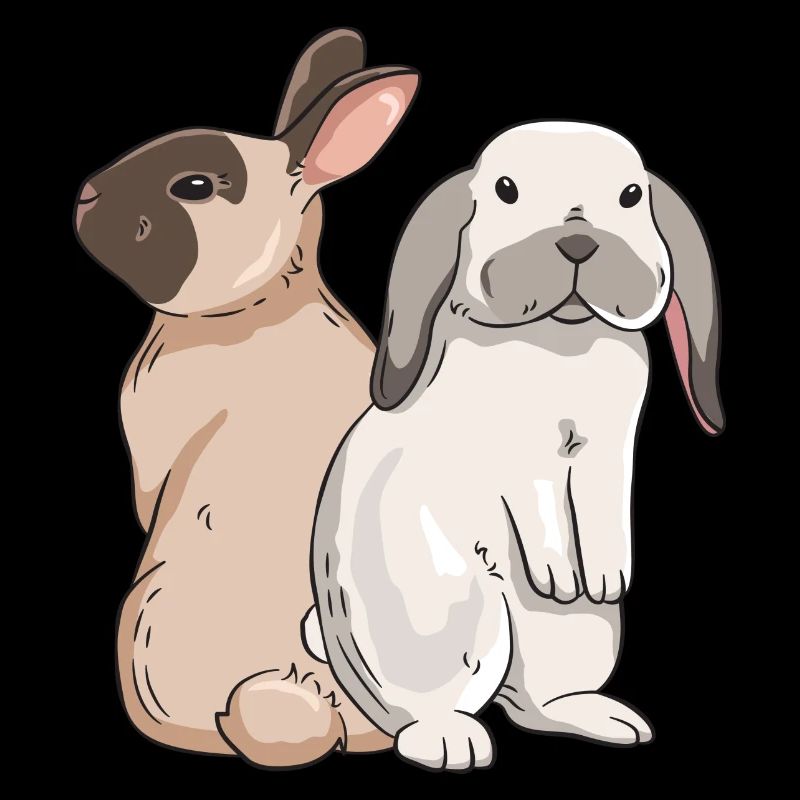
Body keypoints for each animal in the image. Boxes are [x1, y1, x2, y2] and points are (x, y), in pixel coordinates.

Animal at [73, 28, 419, 769]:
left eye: (195, 187)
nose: (84, 195)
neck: (254, 304)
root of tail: (313, 711)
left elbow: (148, 493)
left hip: (147, 613)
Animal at [310, 121, 723, 771]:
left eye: (631, 196)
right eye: (506, 191)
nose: (578, 243)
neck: (560, 342)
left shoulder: (611, 448)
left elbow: (605, 501)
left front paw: (608, 576)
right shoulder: (516, 457)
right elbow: (539, 502)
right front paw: (559, 576)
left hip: (577, 636)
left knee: (536, 703)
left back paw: (609, 720)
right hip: (454, 619)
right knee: (418, 711)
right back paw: (452, 742)